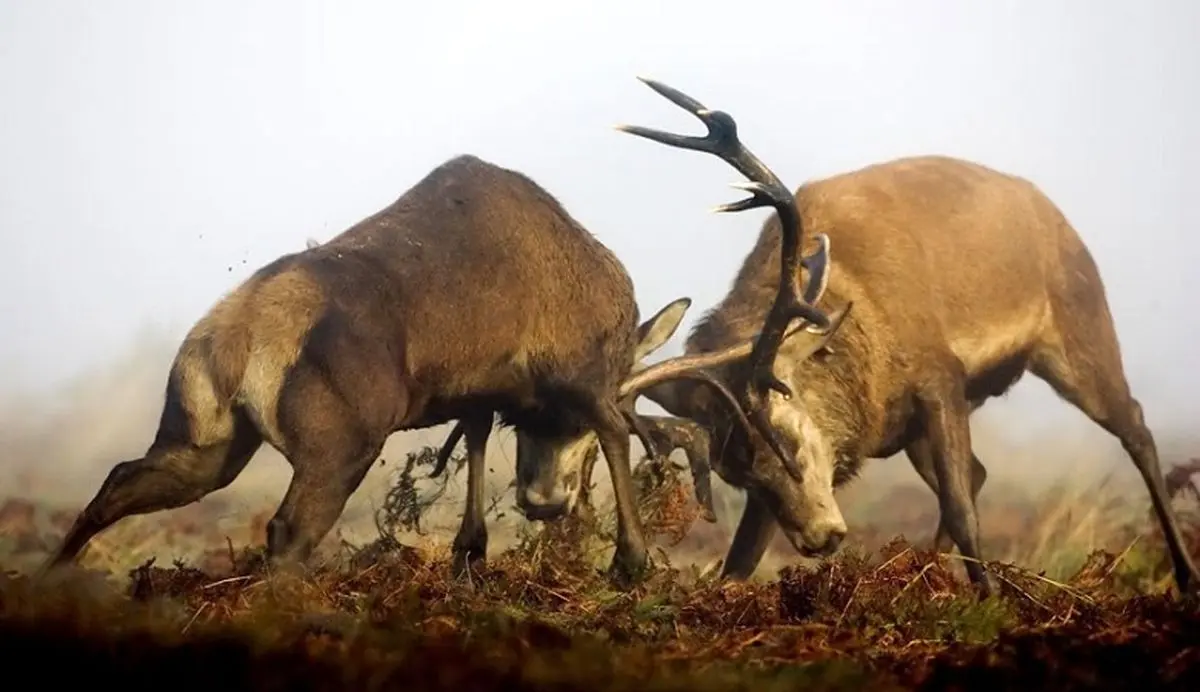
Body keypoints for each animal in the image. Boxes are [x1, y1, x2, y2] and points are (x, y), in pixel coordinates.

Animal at [44, 152, 768, 582]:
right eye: (572, 439)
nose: (545, 502)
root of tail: (237, 334)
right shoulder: (580, 372)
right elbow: (618, 433)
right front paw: (631, 562)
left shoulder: (482, 390)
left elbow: (474, 437)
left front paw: (469, 554)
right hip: (342, 442)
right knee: (288, 530)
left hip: (206, 441)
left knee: (119, 481)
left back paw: (53, 579)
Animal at [525, 74, 1200, 594]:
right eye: (737, 473)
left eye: (788, 440)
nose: (821, 538)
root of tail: (1049, 208)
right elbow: (738, 561)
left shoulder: (938, 374)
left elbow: (963, 507)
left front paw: (994, 600)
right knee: (983, 471)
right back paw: (925, 572)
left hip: (1078, 324)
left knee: (1135, 428)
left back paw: (1185, 574)